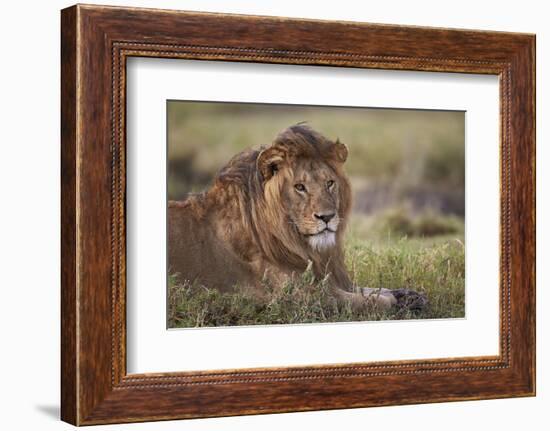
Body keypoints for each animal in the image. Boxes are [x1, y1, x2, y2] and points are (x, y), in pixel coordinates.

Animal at [168, 123, 422, 308]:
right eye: (300, 187)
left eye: (330, 183)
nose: (327, 217)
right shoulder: (300, 294)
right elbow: (371, 301)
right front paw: (394, 301)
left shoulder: (328, 277)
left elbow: (372, 289)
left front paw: (411, 295)